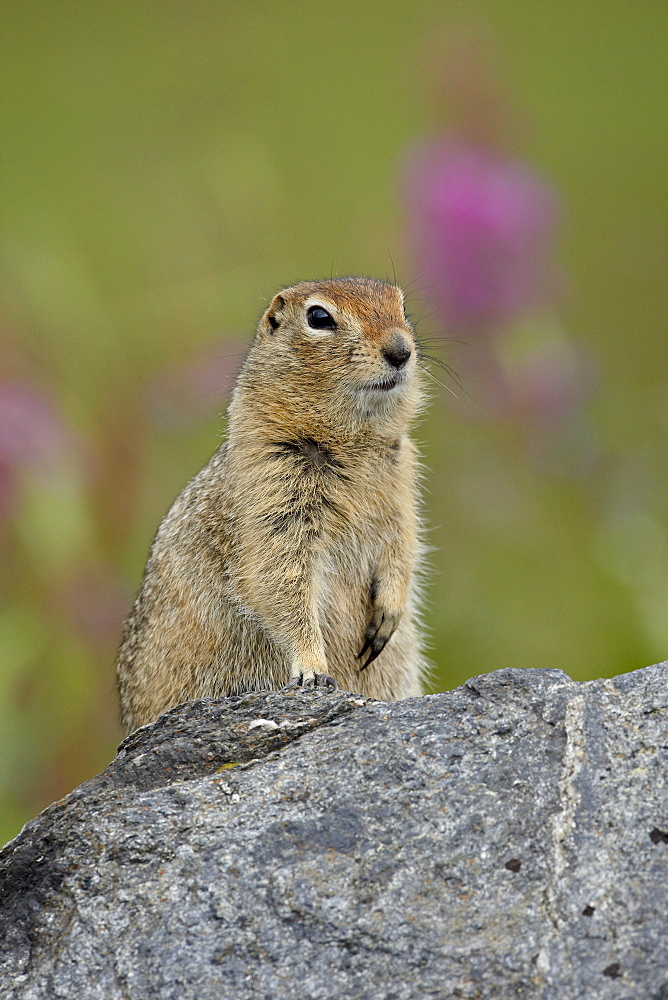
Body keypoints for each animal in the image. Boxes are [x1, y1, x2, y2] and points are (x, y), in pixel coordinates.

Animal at [116, 278, 428, 732]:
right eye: (319, 317)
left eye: (402, 306)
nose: (401, 350)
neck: (353, 441)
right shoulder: (271, 494)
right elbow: (280, 581)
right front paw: (313, 669)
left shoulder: (402, 487)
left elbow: (402, 549)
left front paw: (388, 615)